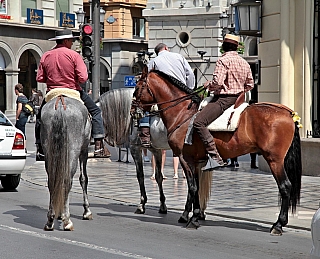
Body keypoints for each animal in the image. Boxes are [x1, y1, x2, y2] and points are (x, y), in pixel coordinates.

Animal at [41, 95, 91, 232]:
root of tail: (60, 108)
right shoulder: (84, 151)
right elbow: (83, 178)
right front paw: (87, 211)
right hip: (73, 151)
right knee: (66, 181)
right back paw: (67, 221)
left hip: (49, 152)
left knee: (53, 181)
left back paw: (50, 220)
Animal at [99, 89, 211, 221]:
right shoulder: (156, 150)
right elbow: (158, 177)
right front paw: (162, 205)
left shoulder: (135, 148)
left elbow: (140, 176)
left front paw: (142, 204)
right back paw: (199, 212)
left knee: (193, 182)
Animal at [132, 66, 302, 236]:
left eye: (138, 87)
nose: (133, 110)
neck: (183, 114)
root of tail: (289, 114)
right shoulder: (196, 161)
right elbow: (197, 187)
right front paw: (195, 215)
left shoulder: (185, 158)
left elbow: (193, 187)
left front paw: (193, 219)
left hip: (274, 160)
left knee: (285, 186)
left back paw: (278, 224)